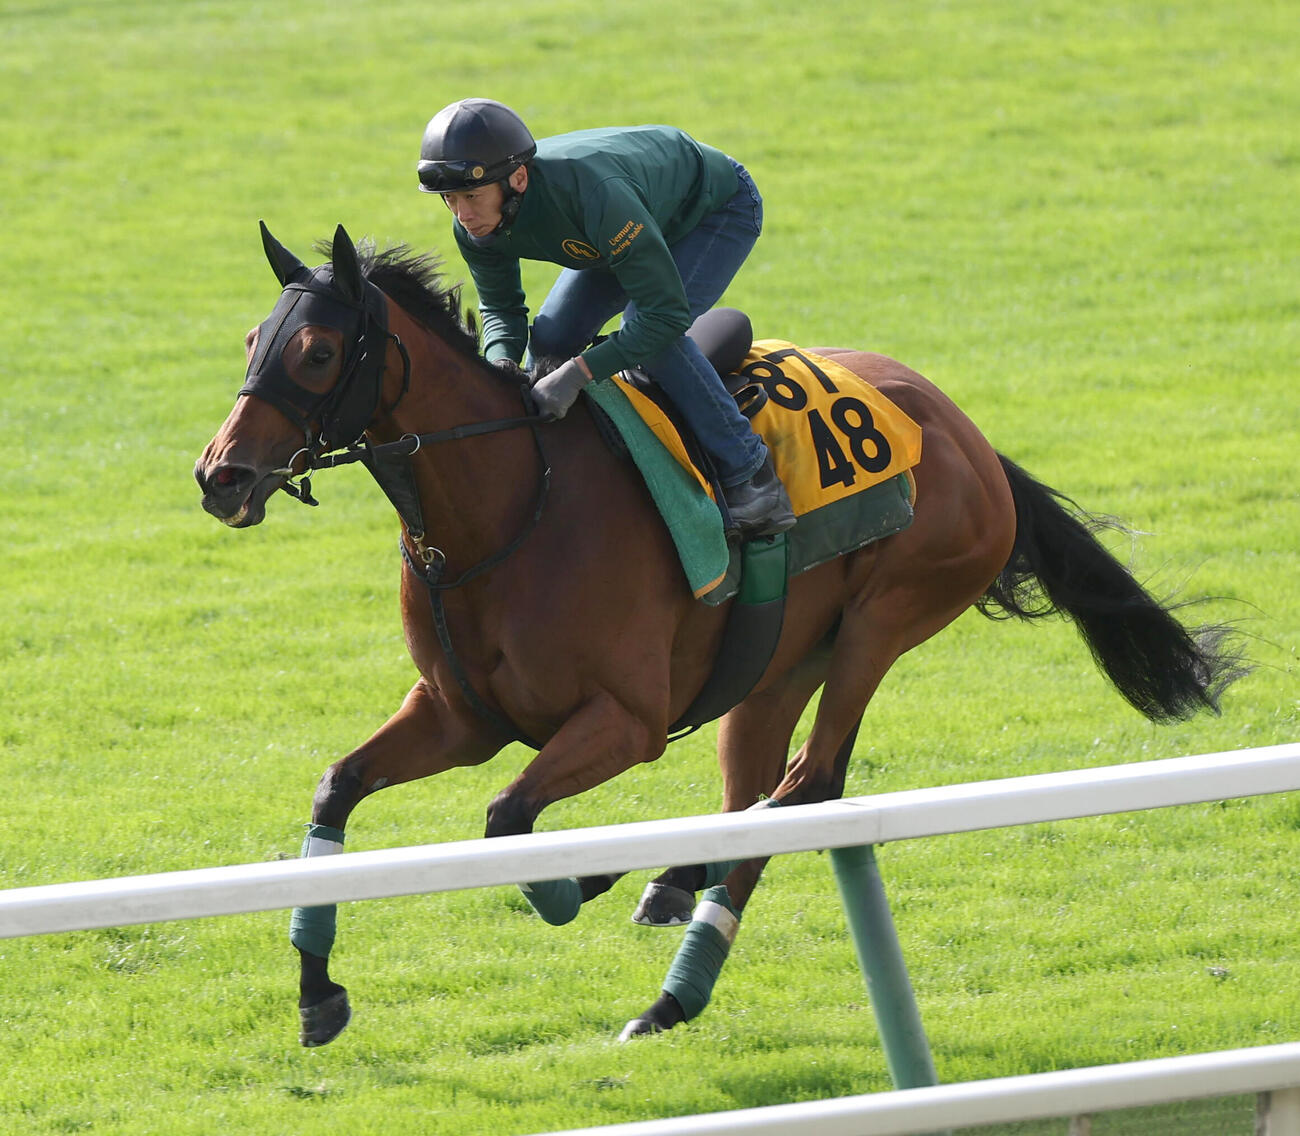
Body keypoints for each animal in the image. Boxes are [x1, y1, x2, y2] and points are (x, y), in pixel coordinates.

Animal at [195, 223, 1241, 1048]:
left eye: (317, 352)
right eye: (252, 339)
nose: (221, 477)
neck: (508, 506)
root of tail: (965, 431)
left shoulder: (626, 720)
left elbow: (506, 822)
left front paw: (586, 878)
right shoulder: (461, 715)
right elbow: (339, 786)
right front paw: (317, 994)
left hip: (886, 618)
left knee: (807, 787)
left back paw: (667, 940)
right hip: (773, 665)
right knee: (757, 794)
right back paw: (671, 935)